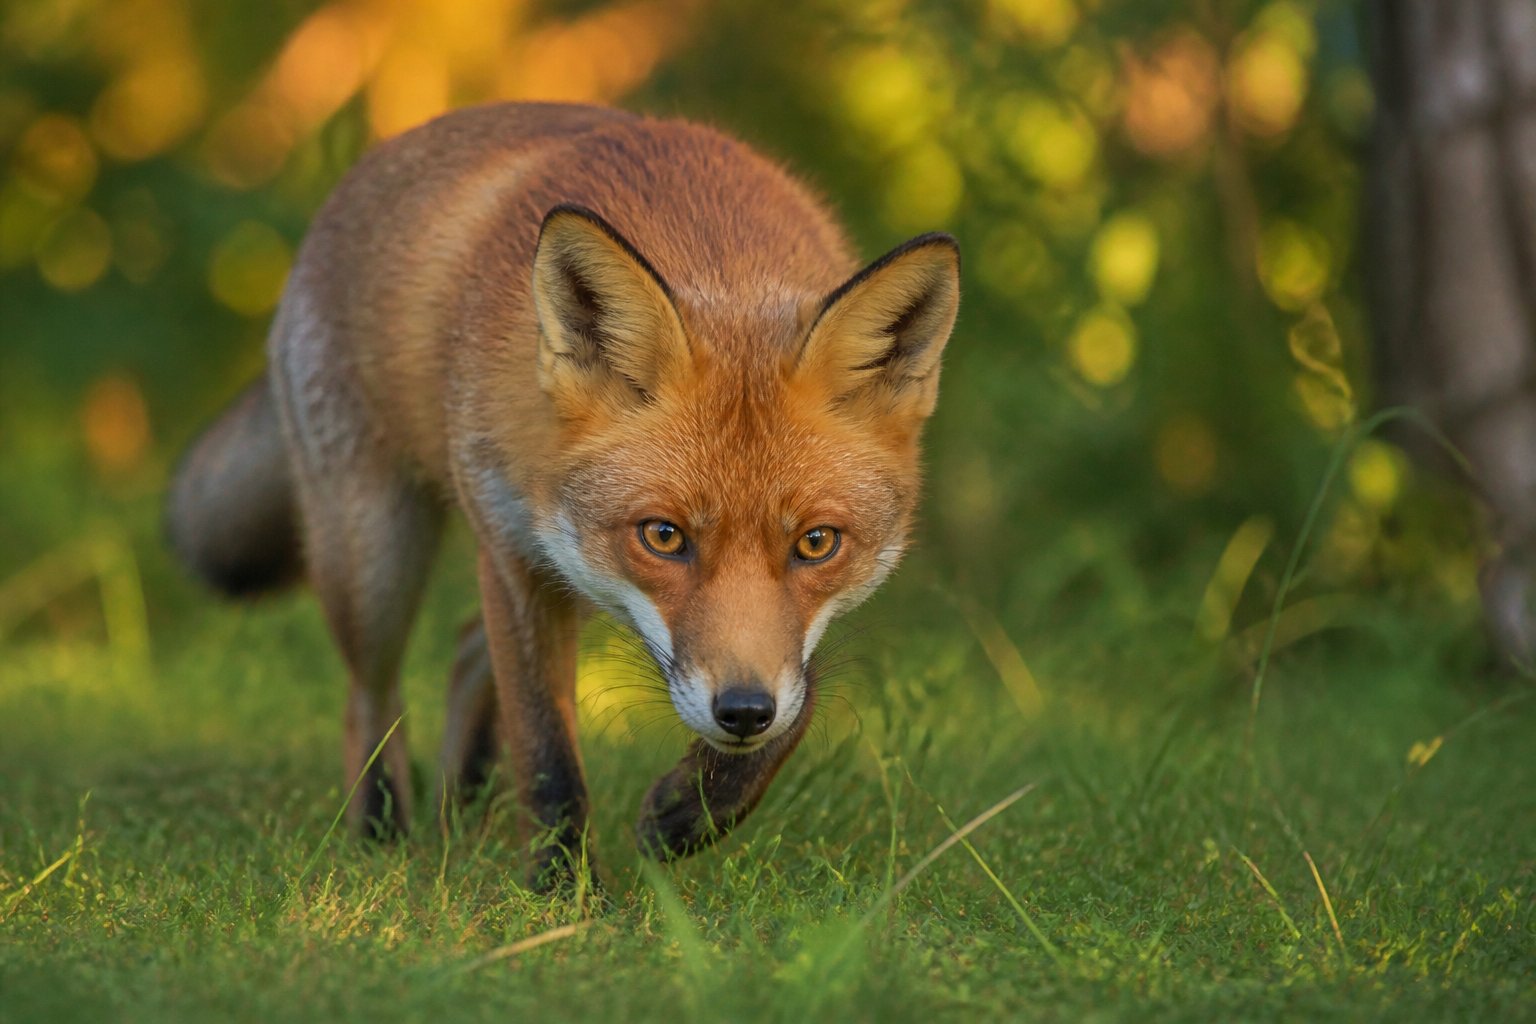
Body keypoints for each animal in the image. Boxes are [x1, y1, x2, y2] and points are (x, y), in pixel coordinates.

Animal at [167, 102, 960, 882]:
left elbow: (802, 694)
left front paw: (693, 810)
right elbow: (547, 753)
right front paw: (563, 894)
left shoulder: (772, 631)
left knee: (463, 652)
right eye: (664, 536)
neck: (718, 263)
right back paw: (383, 842)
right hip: (376, 553)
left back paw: (461, 823)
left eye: (816, 543)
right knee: (371, 699)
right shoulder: (517, 555)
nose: (740, 713)